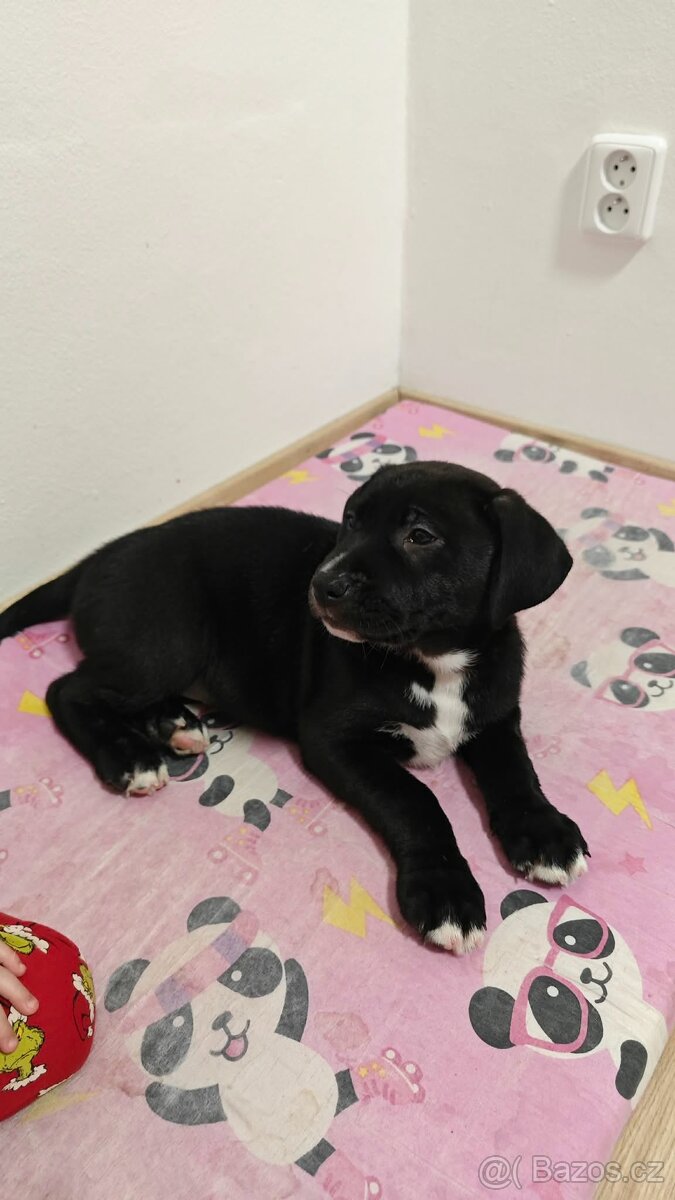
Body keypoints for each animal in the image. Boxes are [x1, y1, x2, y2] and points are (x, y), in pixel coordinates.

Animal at [0, 461, 589, 954]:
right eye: (349, 522)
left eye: (420, 536)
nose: (323, 584)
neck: (434, 662)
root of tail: (96, 559)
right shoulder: (333, 739)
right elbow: (414, 800)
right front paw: (444, 889)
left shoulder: (495, 715)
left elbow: (516, 771)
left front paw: (544, 832)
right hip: (167, 637)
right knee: (66, 690)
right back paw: (128, 756)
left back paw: (172, 724)